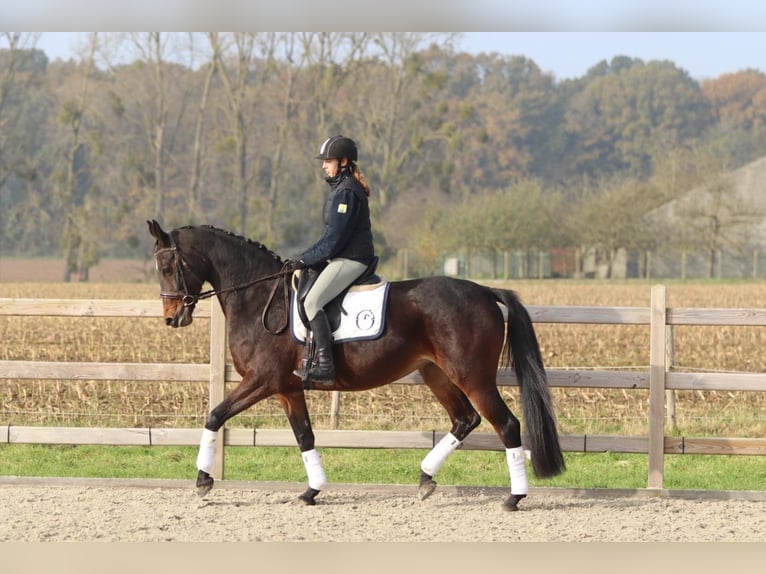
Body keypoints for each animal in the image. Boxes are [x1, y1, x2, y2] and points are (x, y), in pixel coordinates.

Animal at [148, 220, 564, 512]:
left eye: (168, 266)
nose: (171, 318)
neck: (259, 297)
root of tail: (485, 291)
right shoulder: (287, 388)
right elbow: (305, 436)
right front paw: (311, 491)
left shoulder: (262, 380)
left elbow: (215, 415)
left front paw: (203, 480)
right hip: (437, 373)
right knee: (465, 419)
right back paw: (425, 478)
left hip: (473, 376)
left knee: (506, 425)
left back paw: (514, 498)